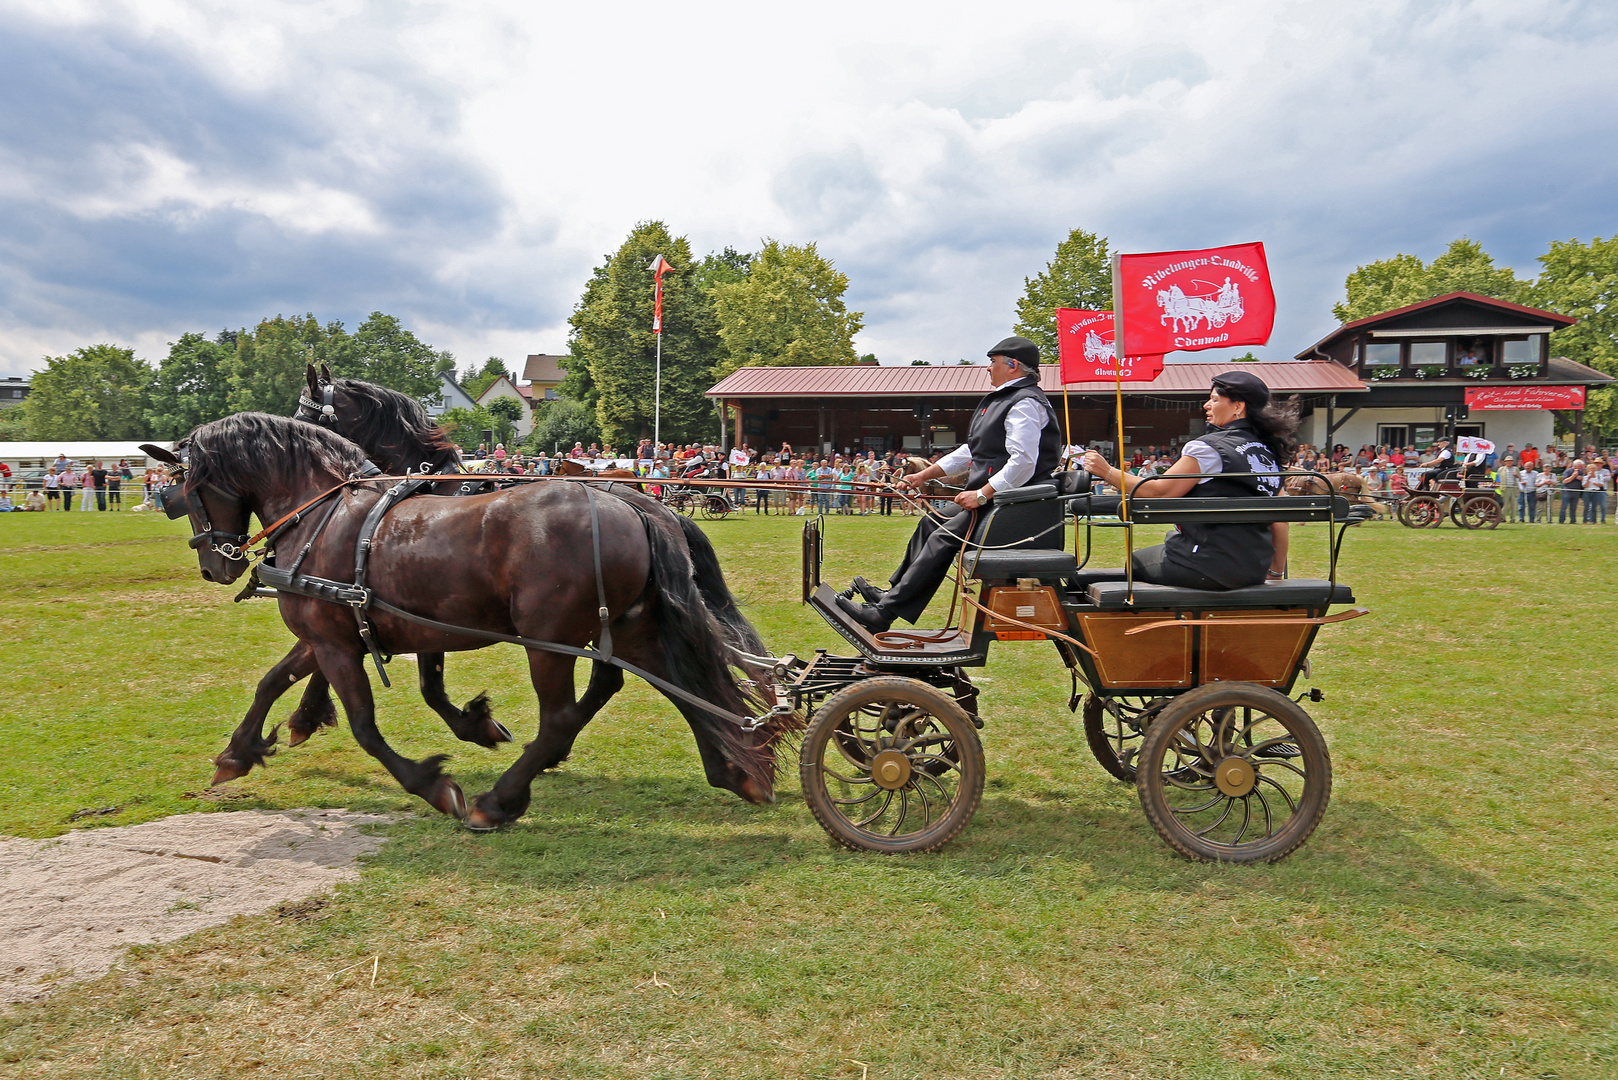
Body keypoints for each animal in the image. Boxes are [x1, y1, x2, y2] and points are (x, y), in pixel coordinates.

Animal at [152, 414, 783, 829]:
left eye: (185, 489)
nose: (214, 563)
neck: (321, 514)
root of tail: (634, 501)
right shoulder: (331, 635)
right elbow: (272, 682)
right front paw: (238, 753)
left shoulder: (335, 642)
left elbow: (365, 726)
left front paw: (433, 785)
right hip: (633, 629)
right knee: (682, 688)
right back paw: (735, 768)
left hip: (549, 640)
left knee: (562, 717)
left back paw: (499, 801)